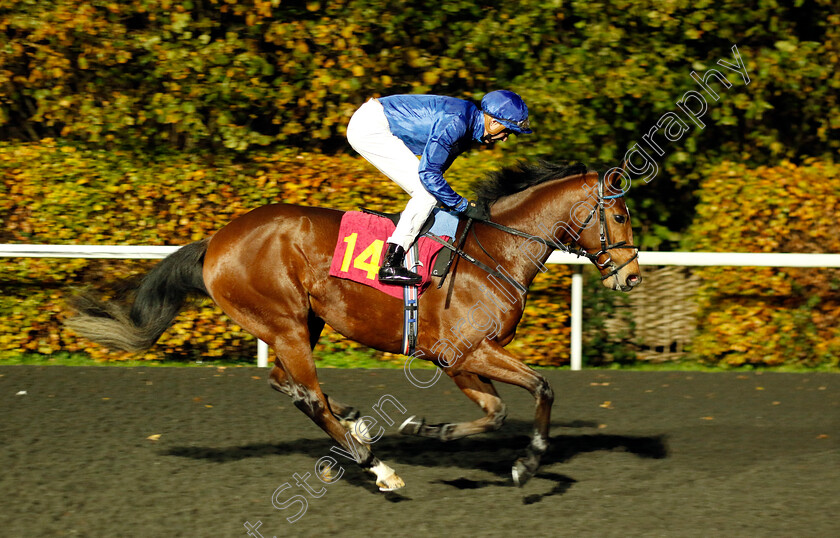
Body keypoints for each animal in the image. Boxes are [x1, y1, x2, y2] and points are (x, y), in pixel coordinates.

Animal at [65, 159, 644, 490]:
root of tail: (217, 241)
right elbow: (526, 395)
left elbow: (508, 405)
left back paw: (354, 429)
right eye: (619, 216)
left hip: (301, 322)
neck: (493, 252)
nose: (632, 275)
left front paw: (439, 434)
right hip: (285, 323)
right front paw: (517, 460)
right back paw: (374, 464)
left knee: (287, 383)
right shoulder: (464, 353)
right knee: (306, 393)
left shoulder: (463, 359)